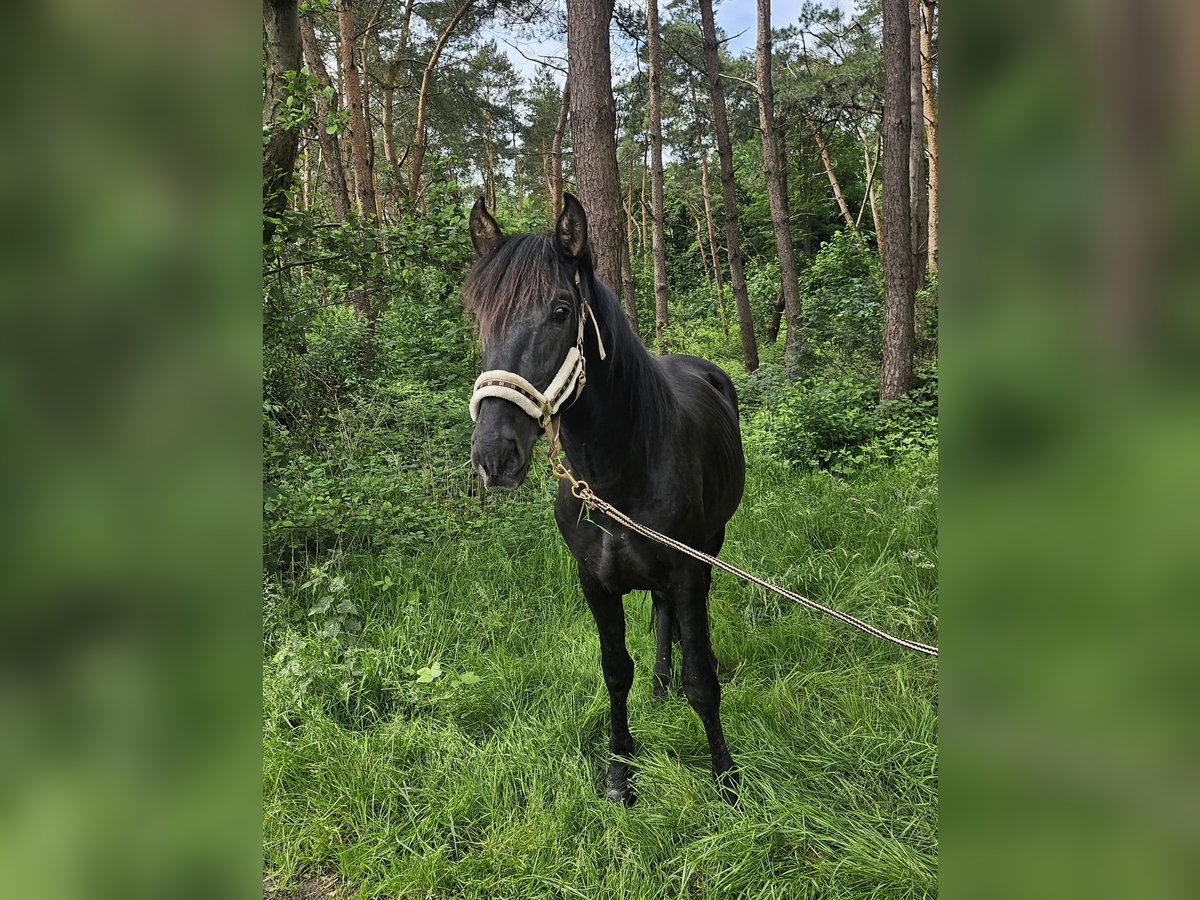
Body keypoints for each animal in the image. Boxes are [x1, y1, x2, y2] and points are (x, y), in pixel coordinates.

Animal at [463, 194, 744, 806]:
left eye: (561, 310)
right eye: (479, 316)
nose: (495, 455)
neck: (618, 474)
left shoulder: (687, 569)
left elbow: (702, 682)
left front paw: (727, 779)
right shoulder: (593, 580)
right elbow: (616, 670)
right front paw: (620, 772)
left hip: (711, 545)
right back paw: (660, 684)